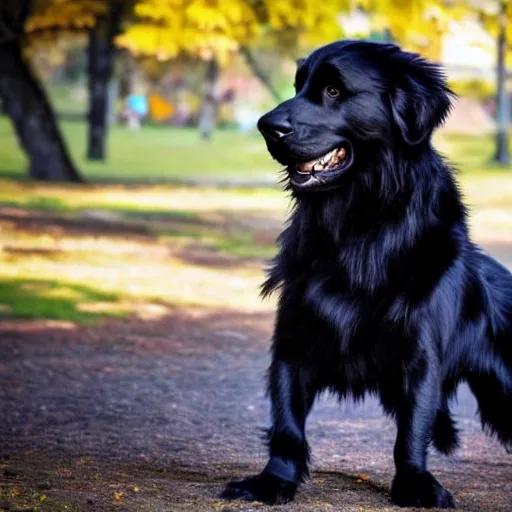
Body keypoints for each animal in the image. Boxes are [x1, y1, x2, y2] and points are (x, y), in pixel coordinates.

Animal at [222, 41, 512, 508]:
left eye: (334, 90)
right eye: (297, 85)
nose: (266, 127)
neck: (360, 226)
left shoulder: (420, 354)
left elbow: (411, 432)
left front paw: (415, 484)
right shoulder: (291, 341)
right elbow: (286, 426)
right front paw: (273, 482)